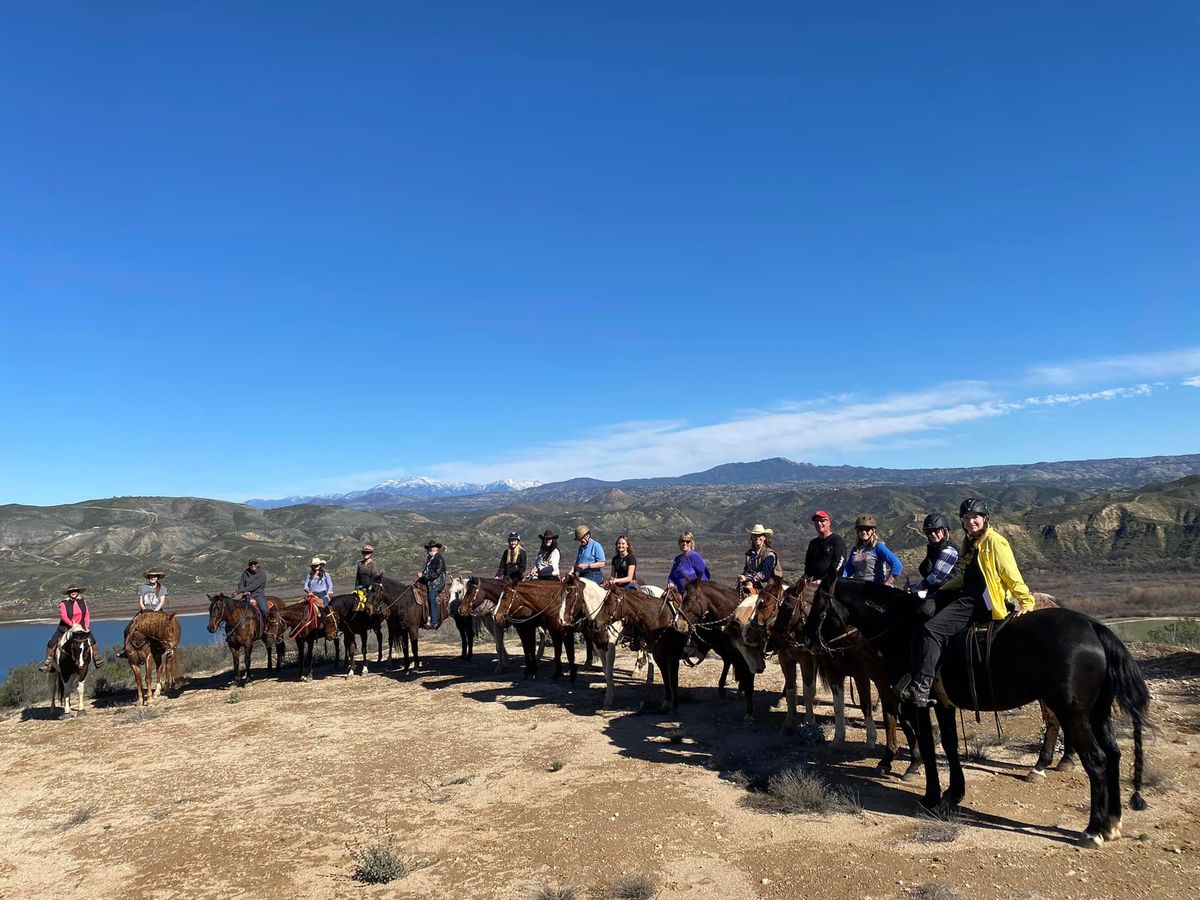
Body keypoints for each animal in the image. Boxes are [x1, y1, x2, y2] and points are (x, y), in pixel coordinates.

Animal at [811, 580, 1147, 849]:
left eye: (817, 605)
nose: (809, 641)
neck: (903, 628)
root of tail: (1095, 629)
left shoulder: (918, 702)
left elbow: (930, 747)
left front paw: (931, 796)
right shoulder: (942, 704)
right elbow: (949, 745)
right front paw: (953, 793)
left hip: (1073, 713)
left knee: (1096, 760)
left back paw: (1092, 830)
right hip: (1098, 713)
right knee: (1113, 755)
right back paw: (1112, 823)